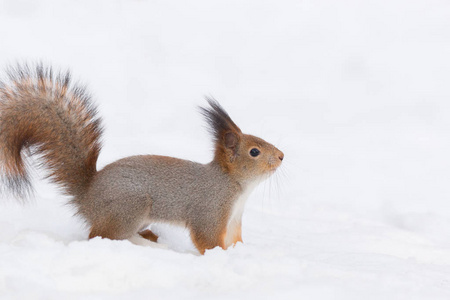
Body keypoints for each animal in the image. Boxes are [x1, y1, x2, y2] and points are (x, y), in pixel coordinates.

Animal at [0, 64, 284, 254]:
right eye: (254, 152)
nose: (282, 156)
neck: (235, 185)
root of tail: (88, 196)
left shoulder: (234, 219)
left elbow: (235, 240)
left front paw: (241, 254)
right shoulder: (210, 210)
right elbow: (207, 240)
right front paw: (220, 257)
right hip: (130, 206)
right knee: (101, 235)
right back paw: (147, 246)